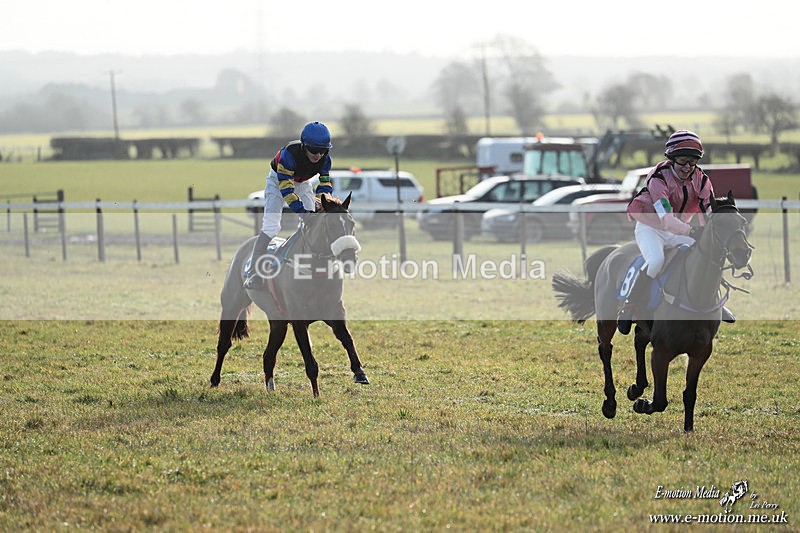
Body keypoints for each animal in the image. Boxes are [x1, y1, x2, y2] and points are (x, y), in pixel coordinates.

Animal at [211, 193, 370, 397]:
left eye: (352, 223)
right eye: (331, 225)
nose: (350, 256)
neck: (315, 272)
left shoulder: (334, 311)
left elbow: (347, 339)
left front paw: (360, 372)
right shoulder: (299, 318)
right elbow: (309, 359)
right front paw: (316, 395)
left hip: (278, 322)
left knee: (268, 355)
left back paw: (270, 388)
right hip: (231, 305)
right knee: (224, 343)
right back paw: (214, 380)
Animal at [552, 193, 753, 431]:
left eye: (742, 222)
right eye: (719, 225)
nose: (742, 253)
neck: (695, 294)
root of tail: (613, 251)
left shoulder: (700, 352)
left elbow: (689, 394)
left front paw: (688, 428)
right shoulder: (661, 352)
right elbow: (660, 400)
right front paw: (642, 404)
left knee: (638, 340)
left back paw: (637, 387)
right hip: (607, 320)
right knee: (605, 349)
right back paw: (610, 403)